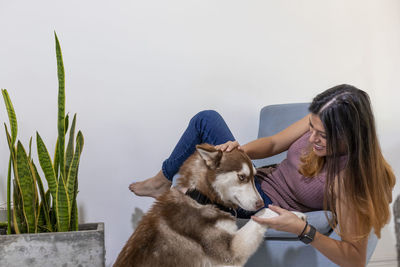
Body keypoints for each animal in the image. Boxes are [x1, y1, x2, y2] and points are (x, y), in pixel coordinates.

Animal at [114, 144, 304, 267]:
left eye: (254, 177)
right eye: (242, 177)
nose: (260, 201)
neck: (202, 198)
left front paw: (292, 214)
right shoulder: (230, 252)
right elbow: (261, 215)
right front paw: (293, 215)